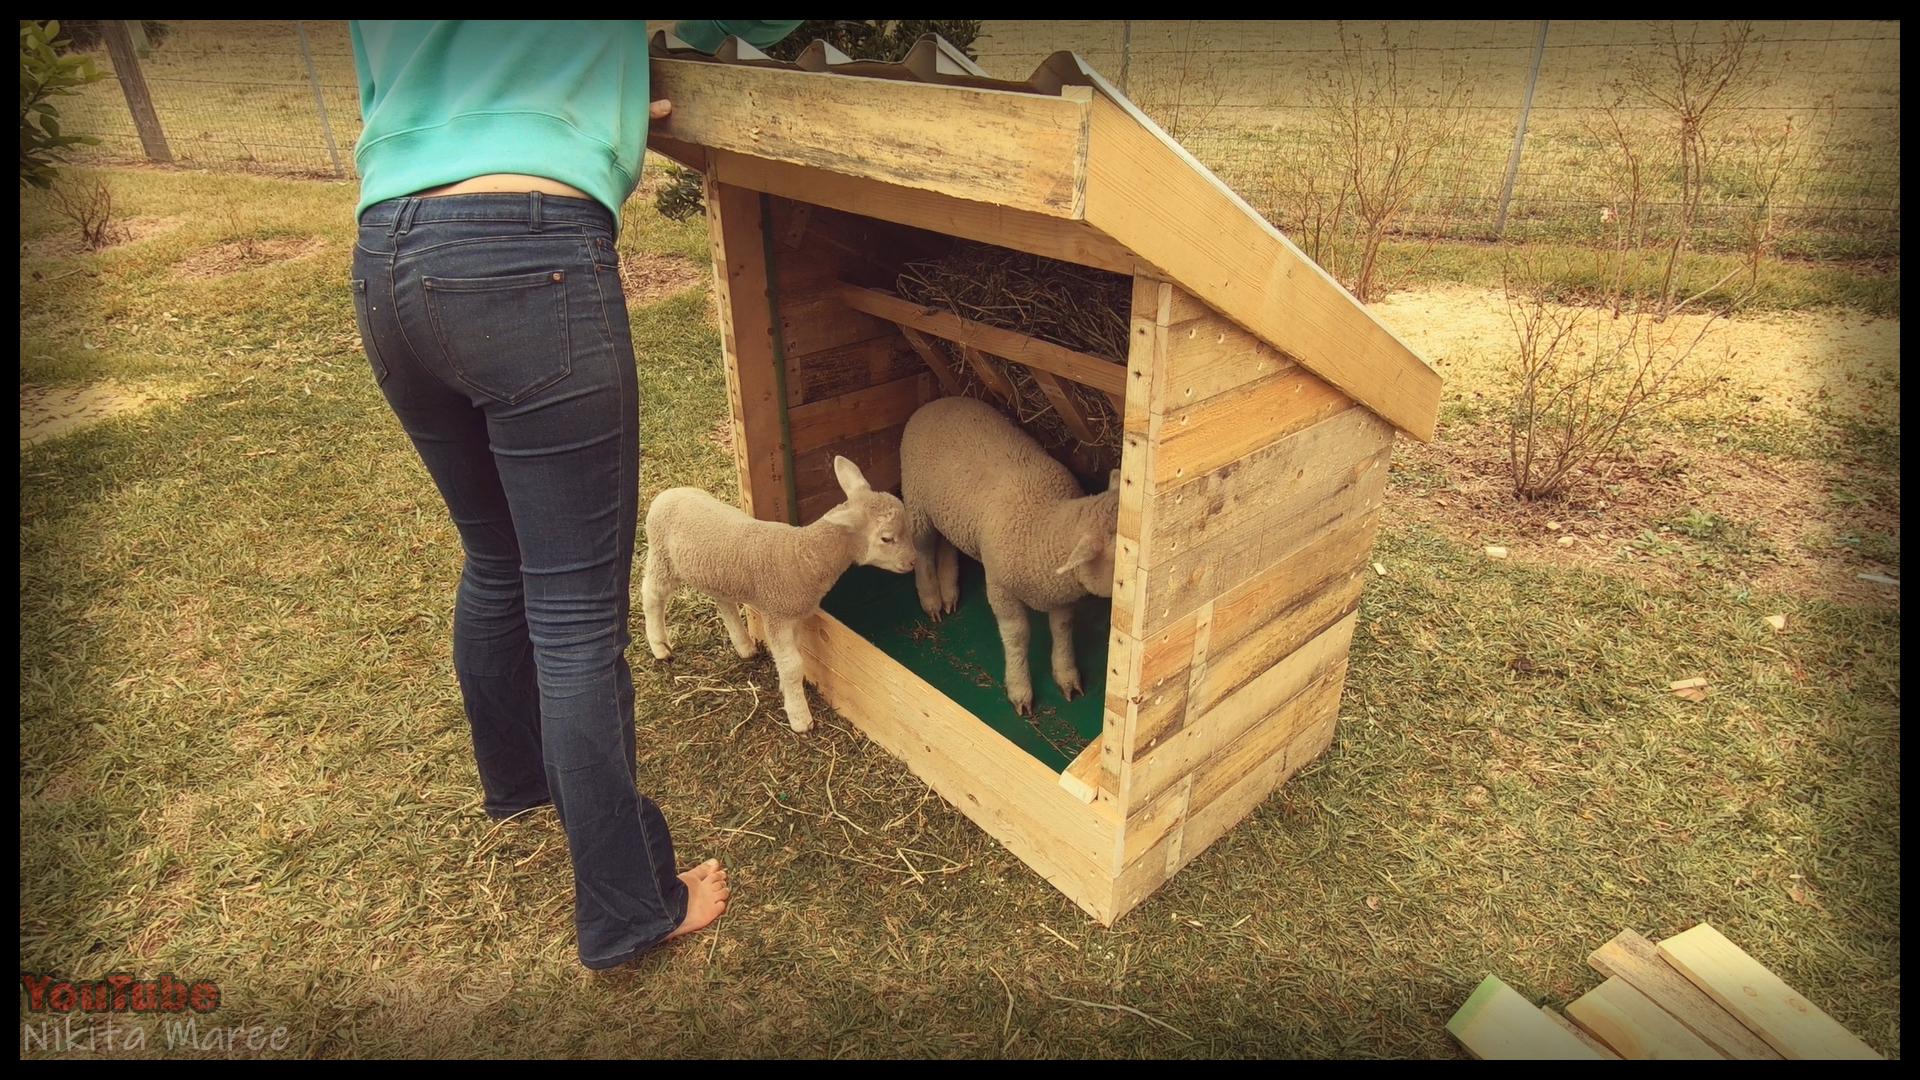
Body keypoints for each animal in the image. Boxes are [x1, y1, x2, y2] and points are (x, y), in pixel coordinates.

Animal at [645, 453, 913, 730]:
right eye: (886, 538)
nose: (913, 562)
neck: (803, 554)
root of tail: (669, 493)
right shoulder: (777, 614)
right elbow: (792, 665)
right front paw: (800, 717)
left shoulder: (794, 616)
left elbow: (791, 660)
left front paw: (788, 692)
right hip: (662, 559)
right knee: (652, 596)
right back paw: (660, 646)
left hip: (714, 573)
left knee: (723, 602)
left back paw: (744, 646)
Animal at [902, 395, 1121, 714]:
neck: (1043, 524)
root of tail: (936, 401)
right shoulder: (1000, 588)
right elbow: (1017, 636)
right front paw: (1020, 689)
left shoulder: (1060, 594)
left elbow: (1063, 628)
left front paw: (1066, 676)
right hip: (917, 502)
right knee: (924, 549)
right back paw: (932, 600)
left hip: (949, 511)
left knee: (947, 543)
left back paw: (950, 592)